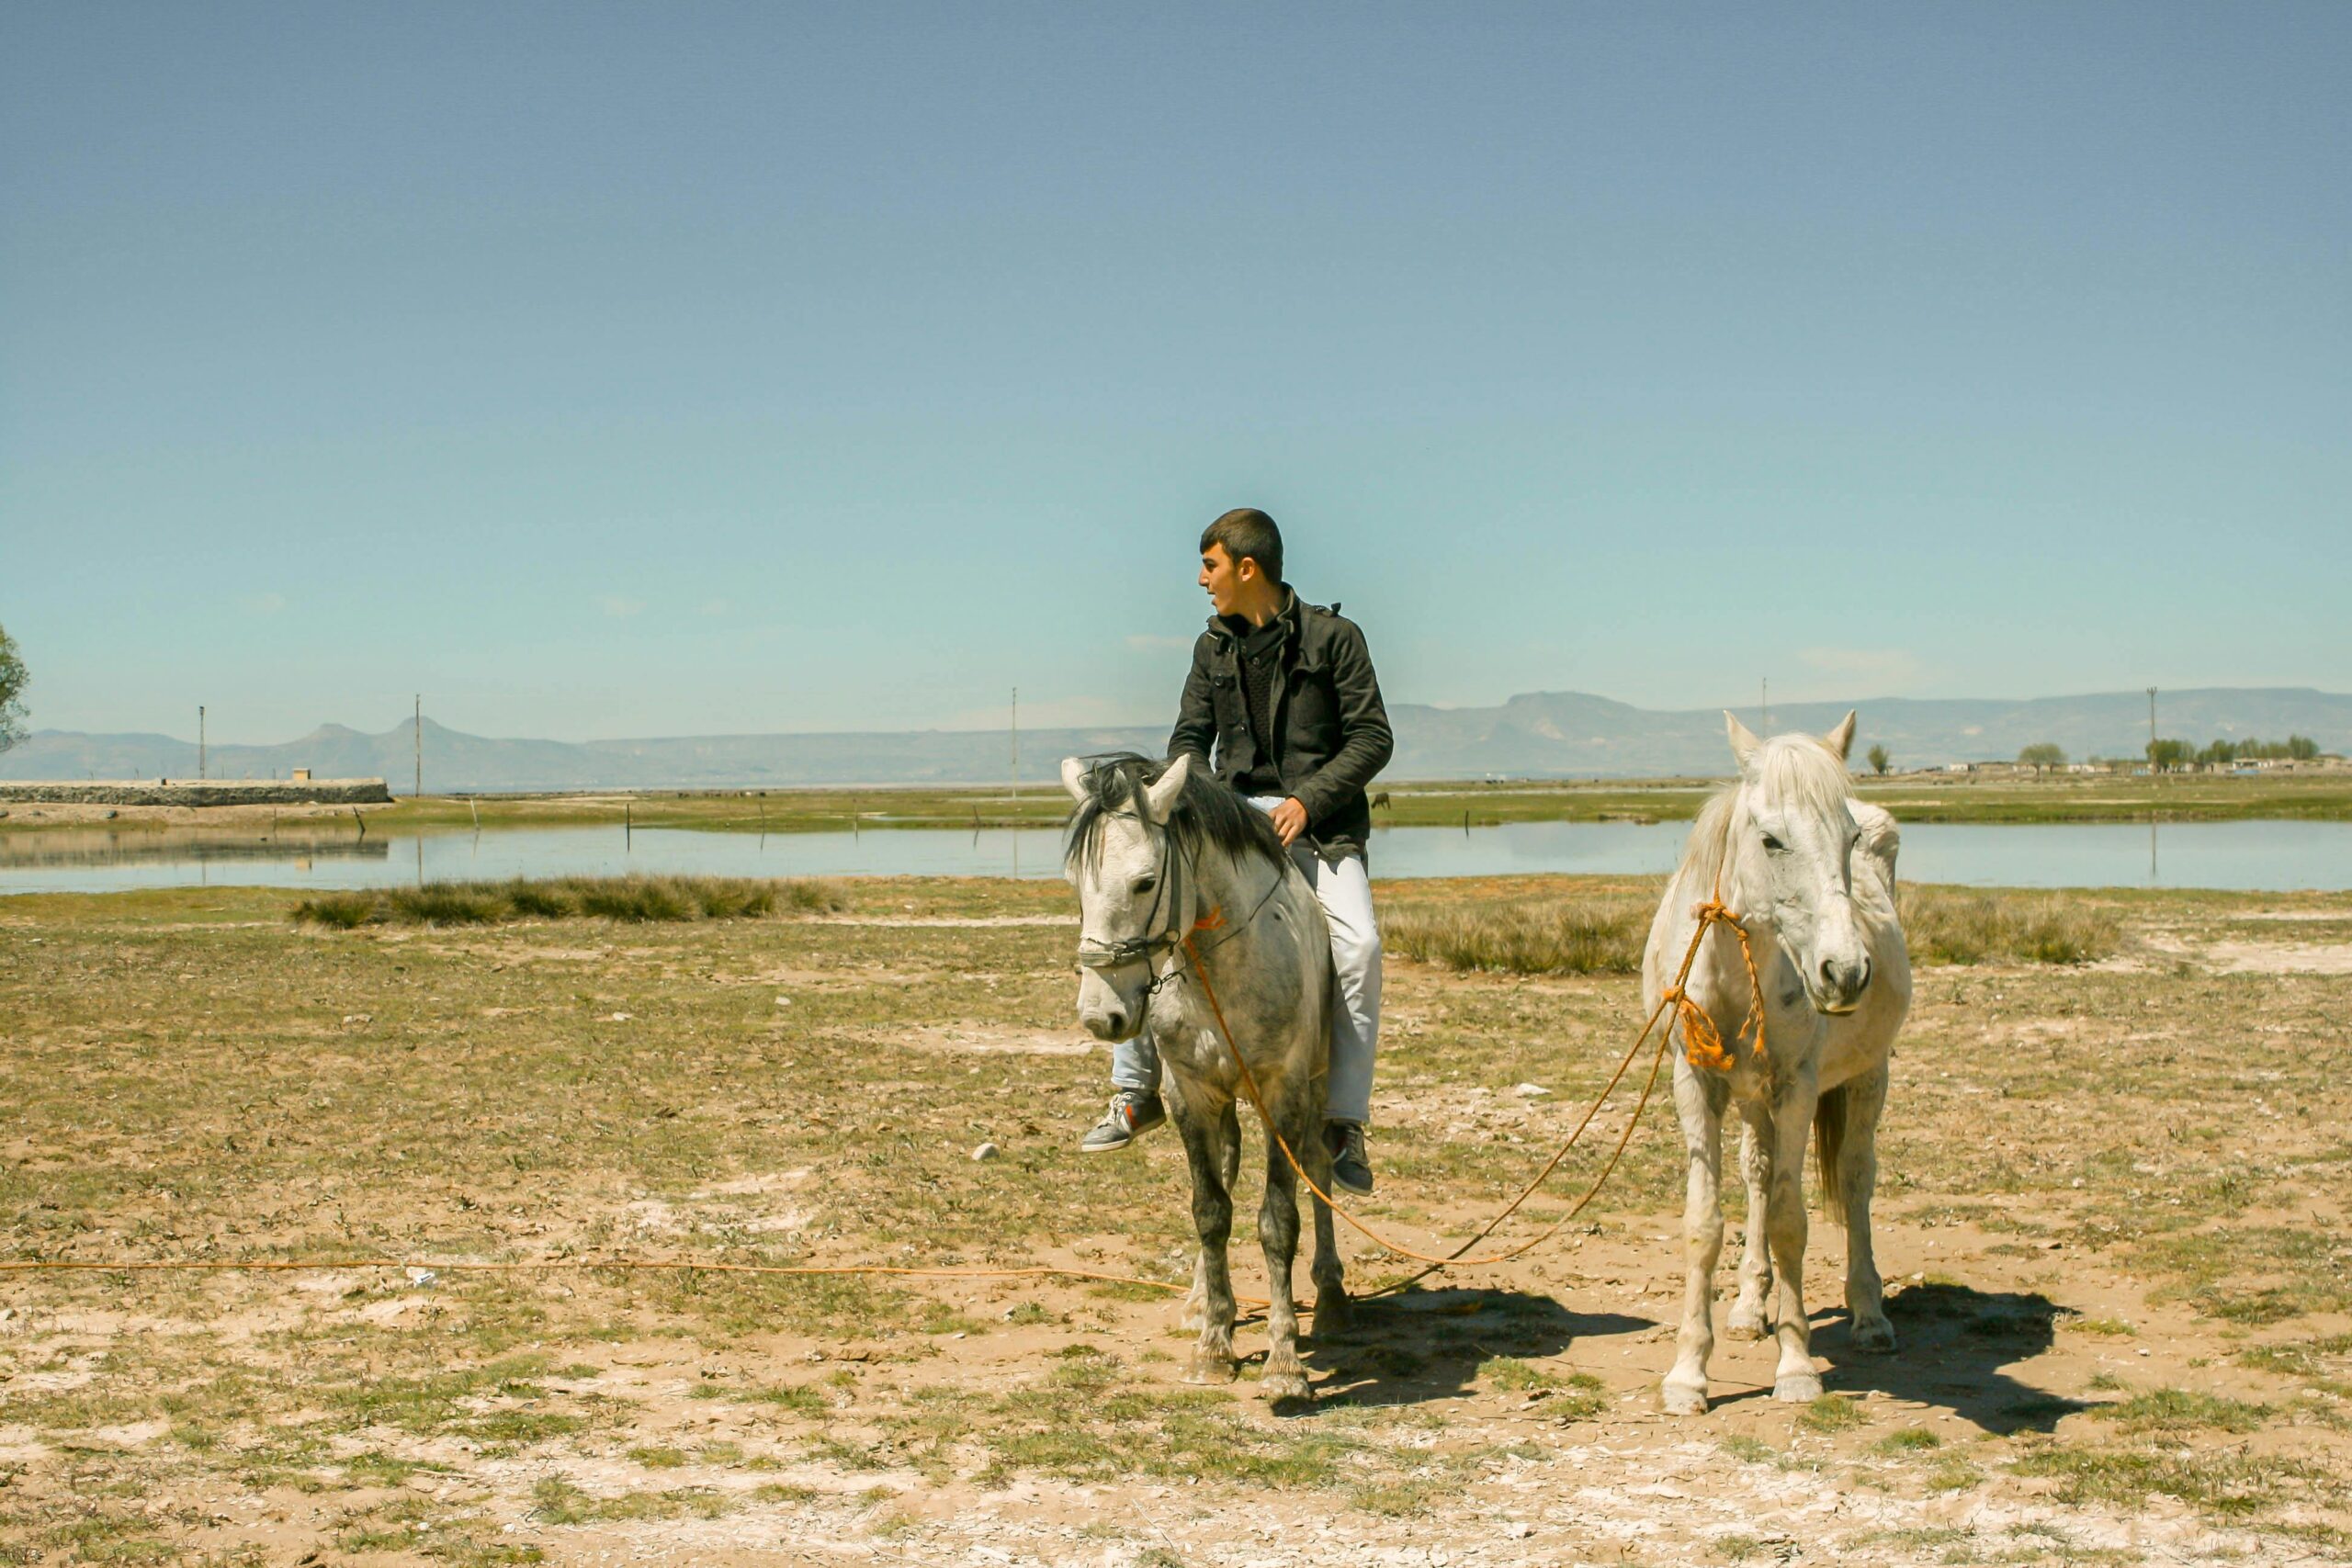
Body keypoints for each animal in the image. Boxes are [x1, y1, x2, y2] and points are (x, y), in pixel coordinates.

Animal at [1063, 751, 1354, 1401]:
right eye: (1077, 884)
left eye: (1146, 882)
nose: (1100, 1015)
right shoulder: (1190, 1095)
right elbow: (1210, 1209)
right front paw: (1214, 1345)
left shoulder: (1282, 1093)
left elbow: (1278, 1219)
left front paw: (1284, 1362)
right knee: (1225, 1165)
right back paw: (1201, 1299)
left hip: (1318, 1088)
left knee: (1319, 1167)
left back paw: (1329, 1295)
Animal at [1646, 719, 1918, 1419]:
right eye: (1771, 839)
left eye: (1851, 840)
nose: (1845, 972)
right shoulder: (1696, 1084)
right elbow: (1705, 1224)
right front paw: (1688, 1373)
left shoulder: (1798, 1087)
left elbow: (1793, 1220)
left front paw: (1795, 1366)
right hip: (1750, 1097)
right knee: (1759, 1175)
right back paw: (1749, 1306)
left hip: (1867, 1076)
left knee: (1854, 1178)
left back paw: (1870, 1314)